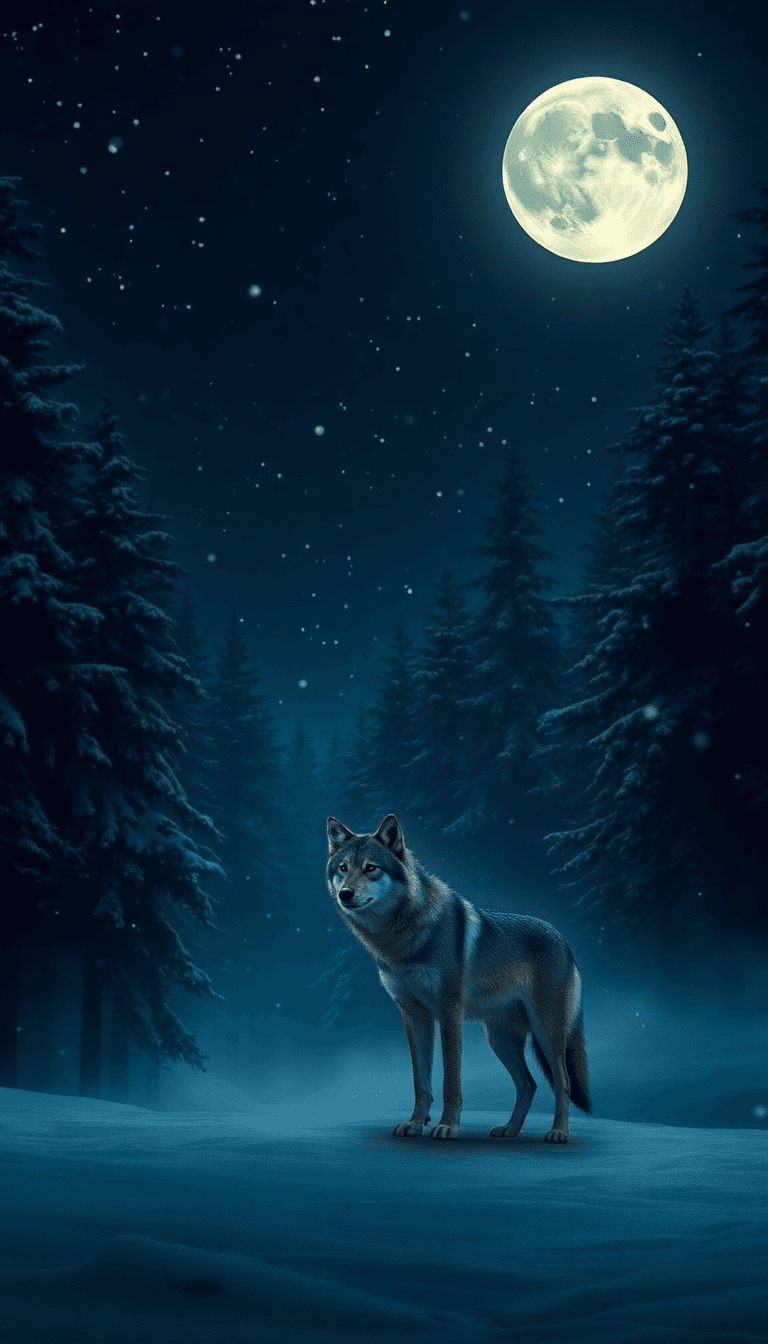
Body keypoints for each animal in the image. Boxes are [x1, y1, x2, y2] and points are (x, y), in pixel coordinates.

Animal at [326, 813, 591, 1142]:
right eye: (343, 868)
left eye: (371, 868)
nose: (345, 894)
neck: (401, 938)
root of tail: (565, 941)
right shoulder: (414, 1016)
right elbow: (421, 1082)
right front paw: (415, 1124)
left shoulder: (449, 1011)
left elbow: (450, 1080)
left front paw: (447, 1126)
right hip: (499, 1039)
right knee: (528, 1085)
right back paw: (509, 1130)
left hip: (546, 1032)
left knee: (562, 1082)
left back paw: (558, 1132)